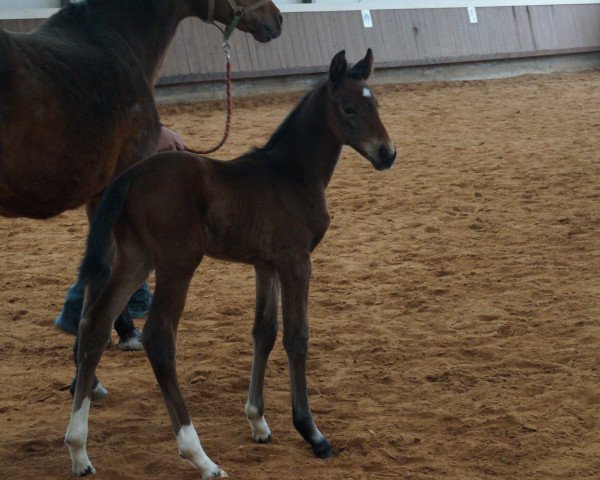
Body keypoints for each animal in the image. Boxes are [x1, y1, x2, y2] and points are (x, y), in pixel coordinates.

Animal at [65, 49, 396, 480]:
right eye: (348, 107)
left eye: (377, 103)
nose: (387, 153)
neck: (291, 173)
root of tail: (129, 177)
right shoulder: (296, 261)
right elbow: (297, 337)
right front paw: (312, 432)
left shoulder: (266, 265)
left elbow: (264, 332)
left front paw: (257, 421)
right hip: (176, 263)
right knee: (159, 337)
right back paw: (199, 456)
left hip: (135, 260)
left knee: (95, 327)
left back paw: (78, 450)